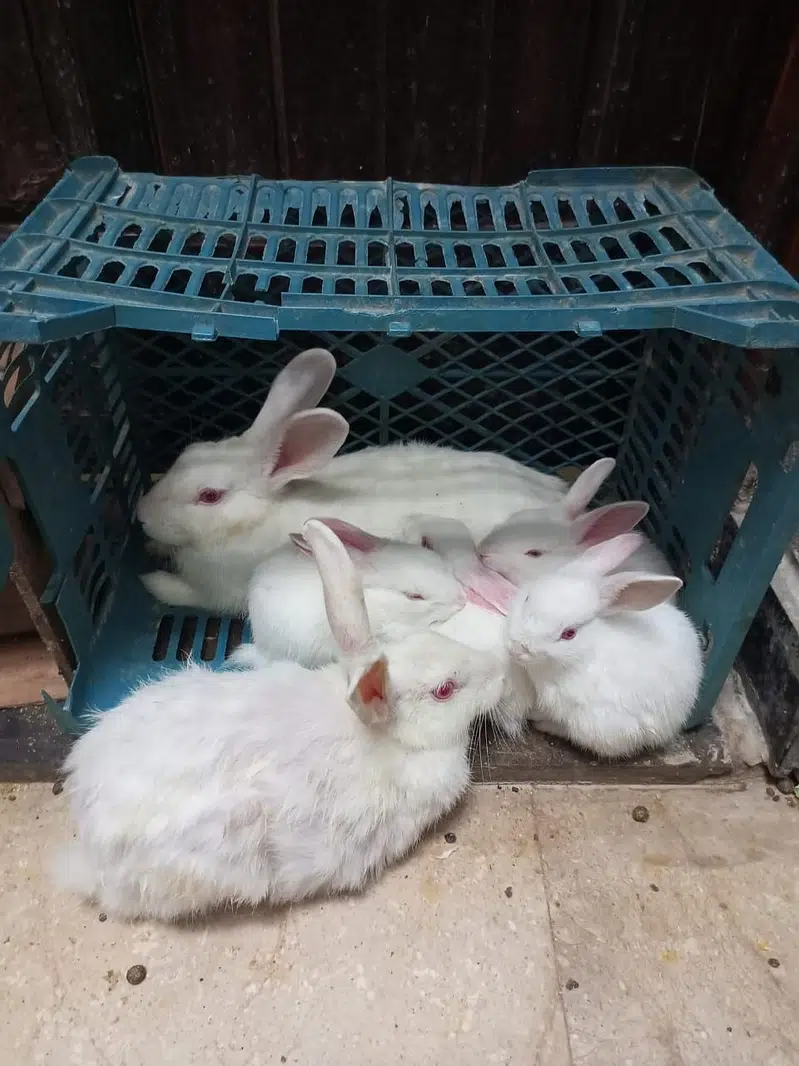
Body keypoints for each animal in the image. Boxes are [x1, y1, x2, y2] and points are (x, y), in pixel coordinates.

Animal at [136, 346, 569, 613]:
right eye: (187, 453)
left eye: (209, 496)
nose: (140, 515)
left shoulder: (217, 592)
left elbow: (185, 594)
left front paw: (151, 580)